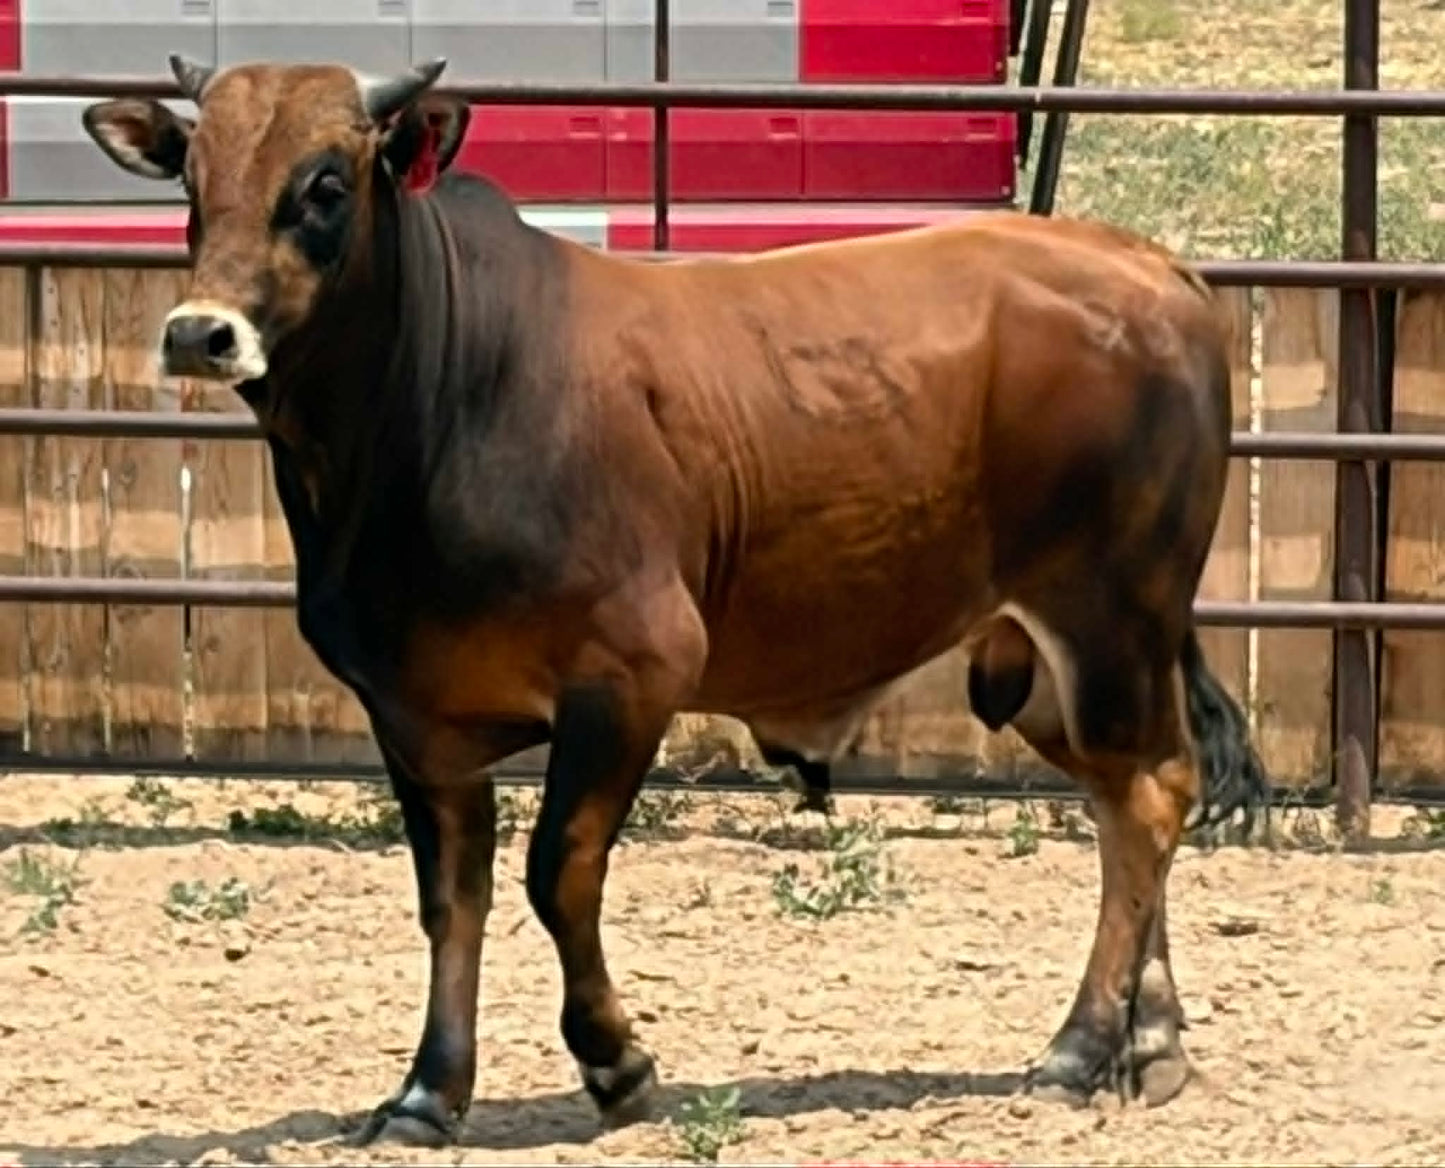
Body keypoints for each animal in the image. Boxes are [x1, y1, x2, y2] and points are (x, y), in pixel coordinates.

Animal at [81, 54, 1269, 1147]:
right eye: (190, 175)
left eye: (325, 183)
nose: (200, 333)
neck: (441, 396)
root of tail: (1153, 267)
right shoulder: (416, 716)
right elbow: (450, 899)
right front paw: (427, 1092)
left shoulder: (629, 675)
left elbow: (558, 871)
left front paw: (616, 1064)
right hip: (1046, 663)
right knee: (1127, 804)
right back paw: (1147, 1039)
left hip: (1107, 619)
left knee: (1149, 796)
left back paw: (1081, 1045)